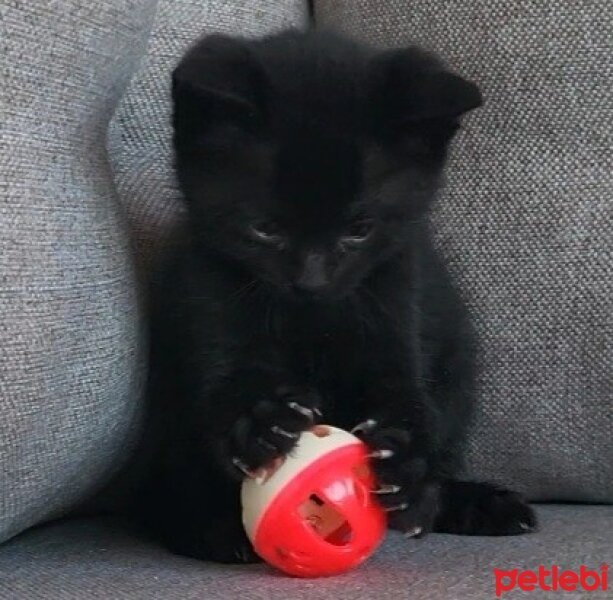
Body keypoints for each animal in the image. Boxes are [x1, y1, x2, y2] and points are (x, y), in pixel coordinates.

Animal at [141, 28, 532, 564]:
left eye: (359, 229)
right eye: (265, 228)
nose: (312, 282)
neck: (311, 320)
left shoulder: (396, 298)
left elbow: (401, 390)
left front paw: (405, 466)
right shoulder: (209, 293)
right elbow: (226, 387)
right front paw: (263, 420)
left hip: (457, 370)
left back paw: (475, 504)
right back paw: (211, 529)